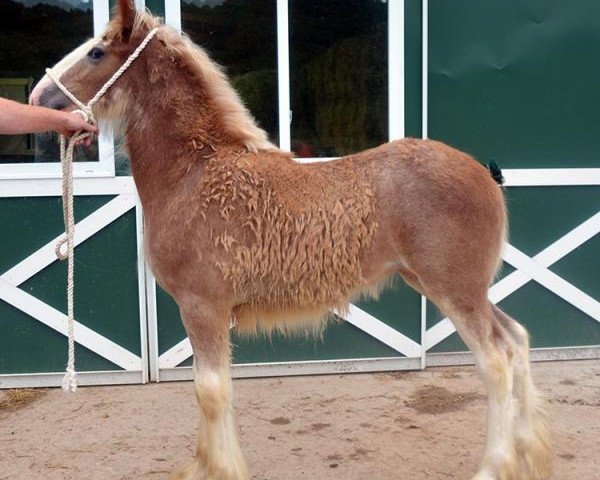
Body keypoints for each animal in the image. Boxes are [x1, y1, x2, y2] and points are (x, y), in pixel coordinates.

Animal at [30, 1, 552, 478]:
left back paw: (495, 465)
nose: (38, 97)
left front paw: (221, 469)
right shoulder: (205, 310)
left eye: (97, 52)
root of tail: (484, 175)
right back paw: (529, 453)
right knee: (515, 339)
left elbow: (210, 391)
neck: (195, 172)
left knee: (495, 362)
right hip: (454, 288)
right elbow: (209, 389)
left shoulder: (202, 305)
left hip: (454, 291)